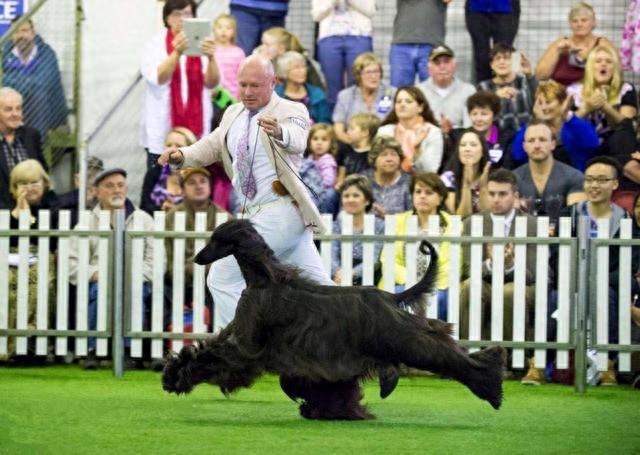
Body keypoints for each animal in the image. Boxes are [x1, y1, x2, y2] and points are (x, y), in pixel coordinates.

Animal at [161, 218, 504, 420]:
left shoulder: (248, 346)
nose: (197, 257)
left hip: (403, 338)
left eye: (216, 239)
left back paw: (490, 385)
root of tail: (390, 297)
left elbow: (216, 357)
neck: (263, 279)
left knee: (444, 353)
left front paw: (176, 378)